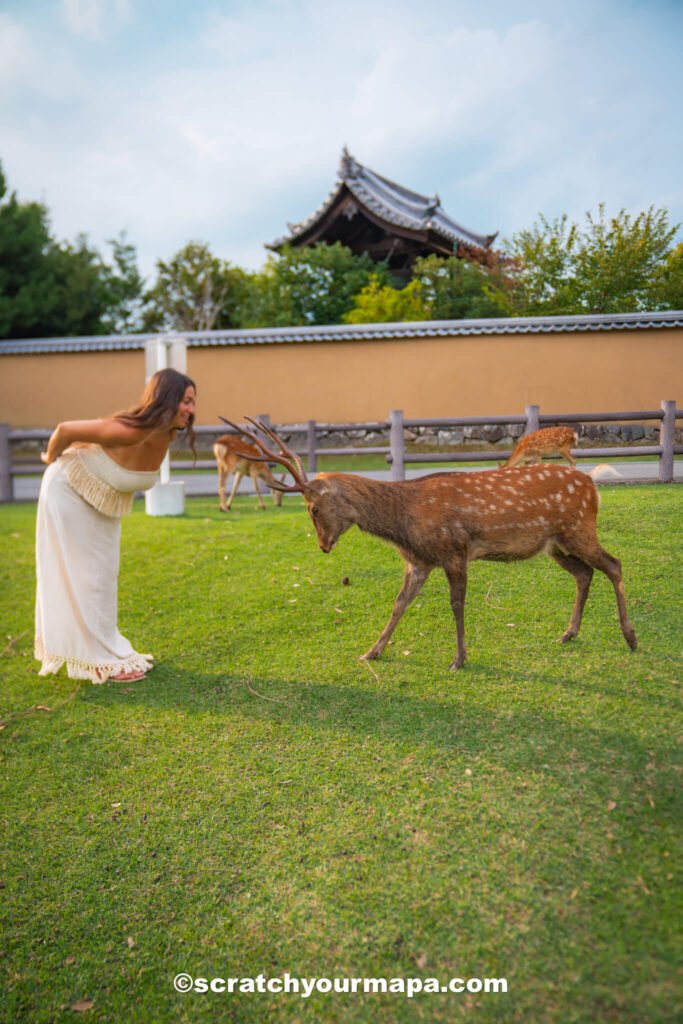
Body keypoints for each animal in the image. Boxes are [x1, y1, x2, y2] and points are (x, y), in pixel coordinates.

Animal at [220, 417, 637, 671]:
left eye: (312, 507)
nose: (324, 546)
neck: (404, 522)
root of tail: (593, 486)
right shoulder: (419, 561)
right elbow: (399, 604)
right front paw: (371, 651)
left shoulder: (454, 551)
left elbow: (457, 605)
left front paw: (459, 659)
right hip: (555, 544)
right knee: (585, 573)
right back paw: (568, 633)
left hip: (578, 529)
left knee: (614, 564)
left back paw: (630, 637)